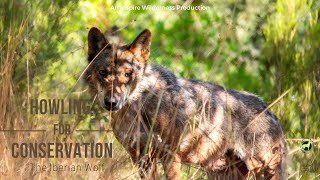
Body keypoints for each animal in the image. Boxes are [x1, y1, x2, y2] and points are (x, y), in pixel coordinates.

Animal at [84, 27, 286, 180]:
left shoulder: (171, 155)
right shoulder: (141, 158)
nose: (111, 102)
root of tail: (269, 110)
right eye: (103, 72)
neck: (137, 110)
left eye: (128, 74)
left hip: (263, 170)